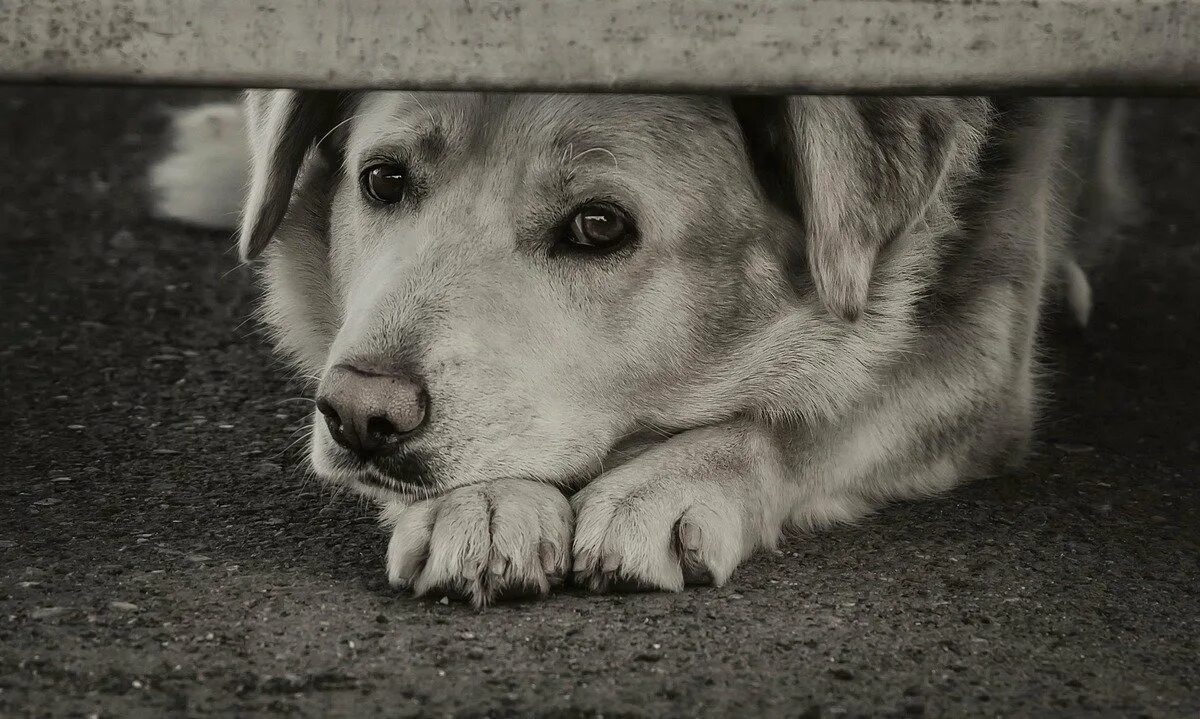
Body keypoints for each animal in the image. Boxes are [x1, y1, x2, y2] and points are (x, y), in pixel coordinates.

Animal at [145, 91, 1128, 607]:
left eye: (598, 226)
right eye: (383, 179)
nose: (358, 415)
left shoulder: (985, 350)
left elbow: (814, 412)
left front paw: (671, 479)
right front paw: (488, 501)